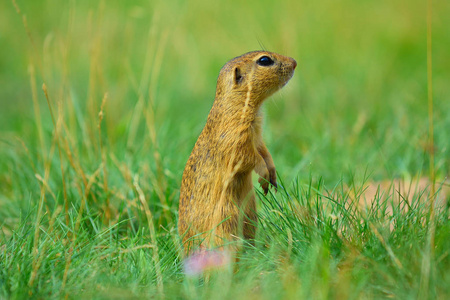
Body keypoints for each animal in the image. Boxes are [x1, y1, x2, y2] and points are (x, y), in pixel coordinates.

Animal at [178, 50, 298, 252]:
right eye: (264, 60)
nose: (295, 62)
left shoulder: (258, 138)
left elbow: (265, 153)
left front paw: (272, 175)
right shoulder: (235, 140)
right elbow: (251, 158)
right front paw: (264, 175)